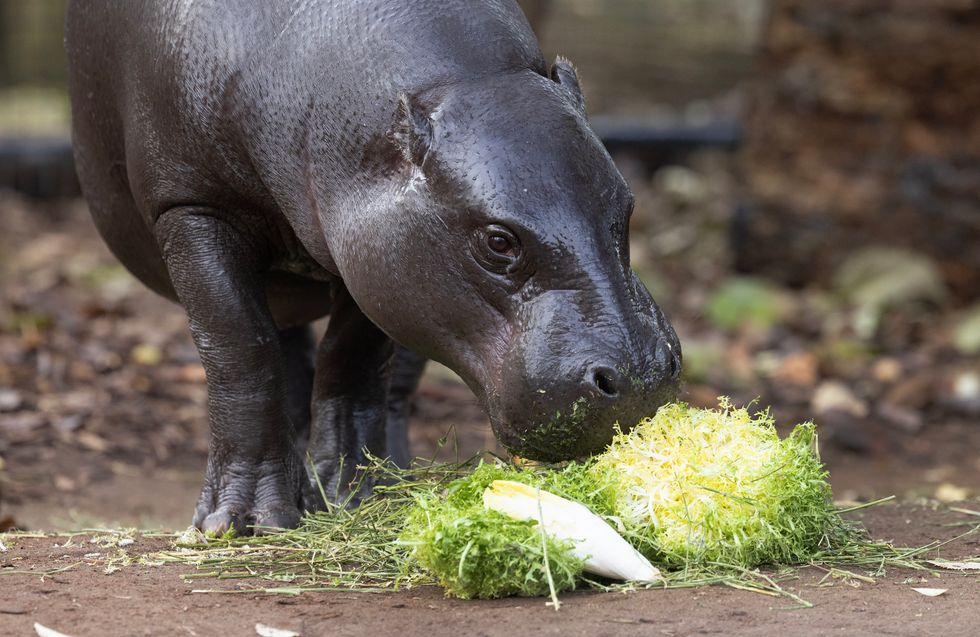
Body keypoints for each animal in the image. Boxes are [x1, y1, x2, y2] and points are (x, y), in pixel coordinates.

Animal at [65, 0, 681, 534]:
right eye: (499, 241)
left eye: (626, 207)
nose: (641, 377)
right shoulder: (192, 205)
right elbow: (241, 348)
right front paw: (241, 522)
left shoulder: (378, 257)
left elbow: (354, 361)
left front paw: (355, 496)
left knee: (385, 383)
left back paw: (392, 477)